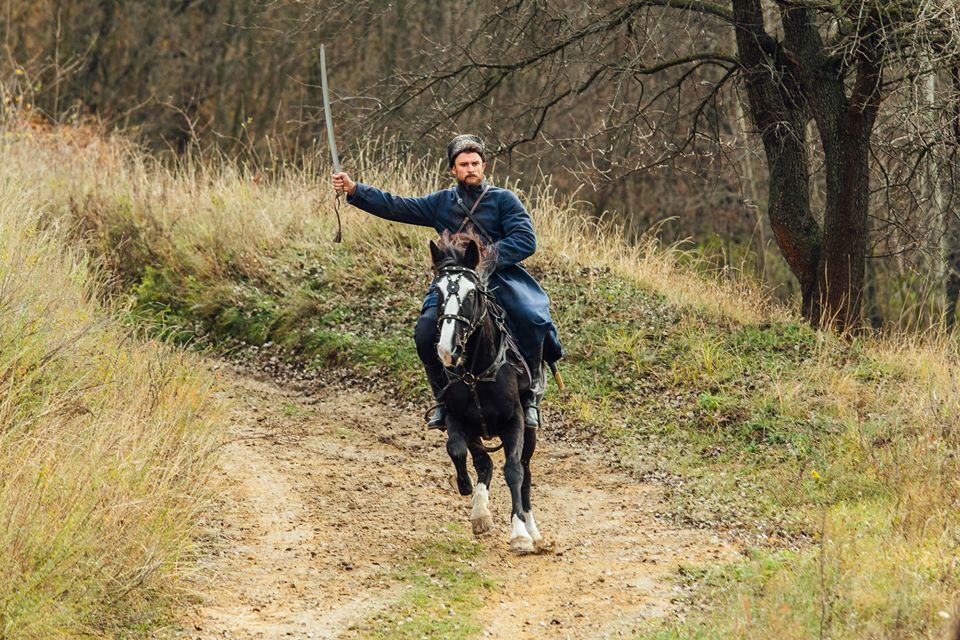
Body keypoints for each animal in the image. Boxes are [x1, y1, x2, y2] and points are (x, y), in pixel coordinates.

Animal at [430, 232, 544, 552]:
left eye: (471, 293)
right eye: (438, 292)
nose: (447, 350)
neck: (474, 373)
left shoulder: (515, 422)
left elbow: (514, 471)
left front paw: (519, 534)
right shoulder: (457, 420)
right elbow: (457, 450)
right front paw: (467, 490)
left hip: (529, 431)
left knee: (525, 472)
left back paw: (532, 530)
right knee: (485, 463)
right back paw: (480, 511)